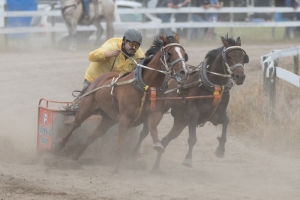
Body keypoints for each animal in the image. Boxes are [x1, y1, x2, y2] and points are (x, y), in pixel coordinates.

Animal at [55, 33, 189, 175]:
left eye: (184, 53)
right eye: (169, 53)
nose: (184, 72)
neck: (145, 87)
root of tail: (99, 79)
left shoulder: (155, 114)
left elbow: (152, 129)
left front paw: (158, 145)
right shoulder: (125, 119)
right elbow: (120, 146)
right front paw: (115, 170)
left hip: (108, 119)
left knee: (93, 136)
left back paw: (76, 157)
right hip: (86, 109)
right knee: (76, 124)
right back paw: (60, 144)